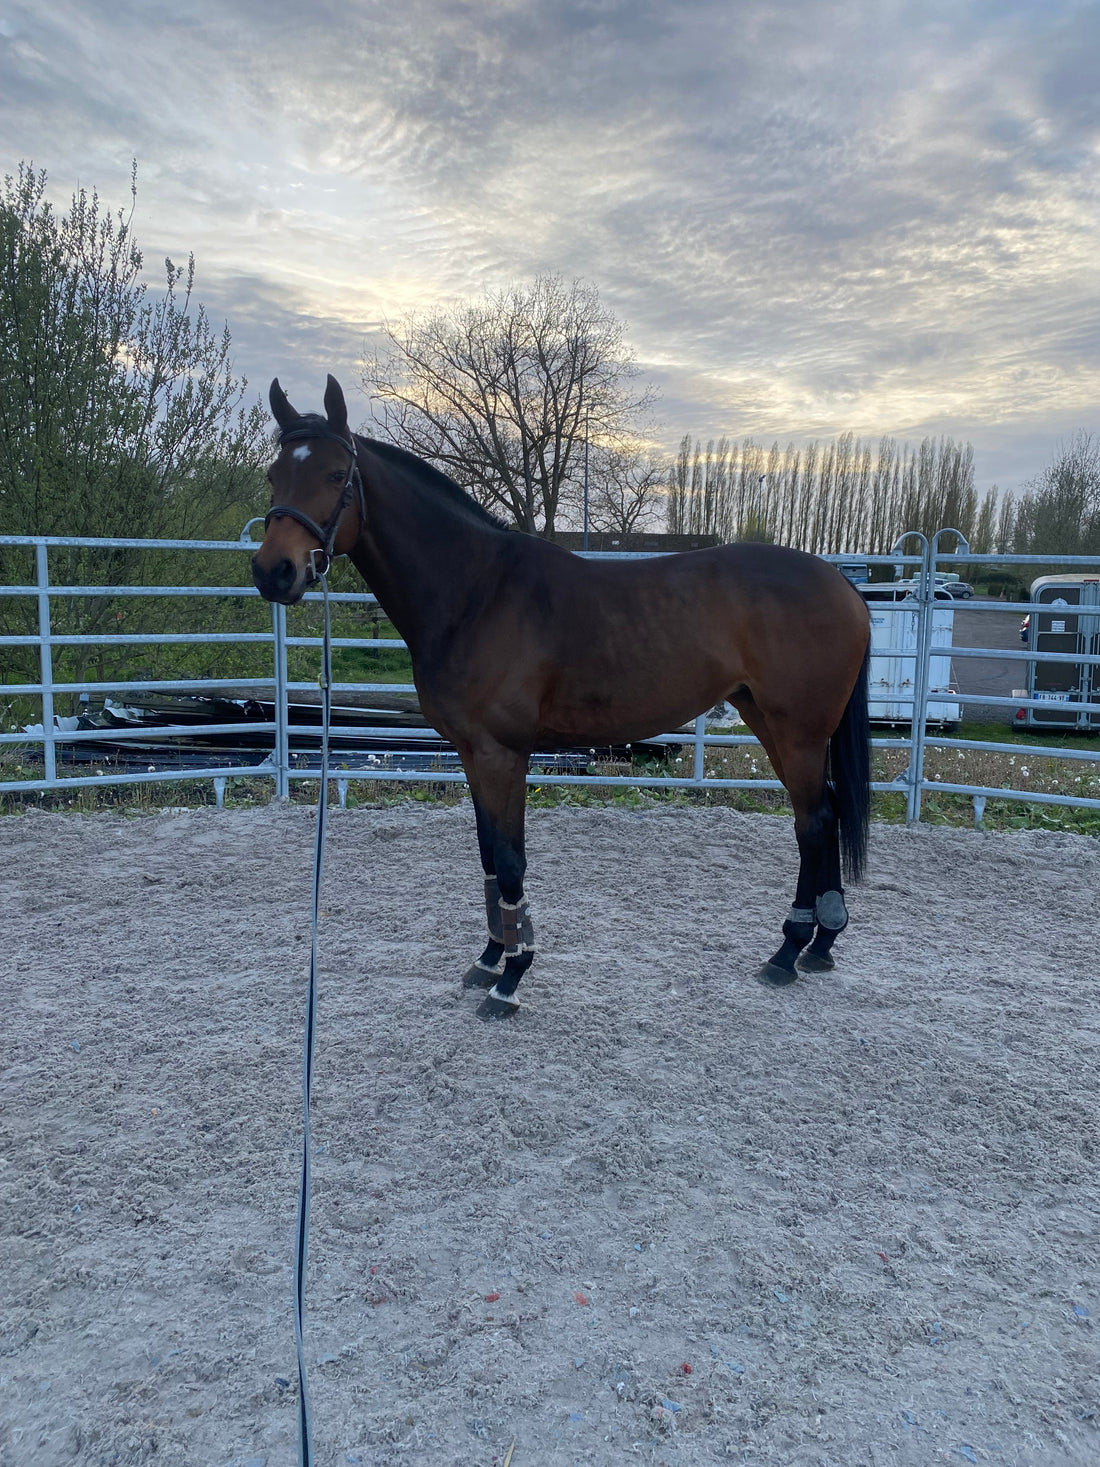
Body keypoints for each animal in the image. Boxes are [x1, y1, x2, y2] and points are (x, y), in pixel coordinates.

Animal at [251, 376, 871, 1019]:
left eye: (334, 475)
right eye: (274, 473)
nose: (274, 571)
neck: (476, 591)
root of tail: (842, 584)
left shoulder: (503, 754)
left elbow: (510, 861)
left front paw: (511, 977)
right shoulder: (472, 753)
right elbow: (488, 855)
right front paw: (489, 958)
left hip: (797, 731)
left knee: (813, 822)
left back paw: (788, 952)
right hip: (769, 720)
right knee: (822, 815)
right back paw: (819, 944)